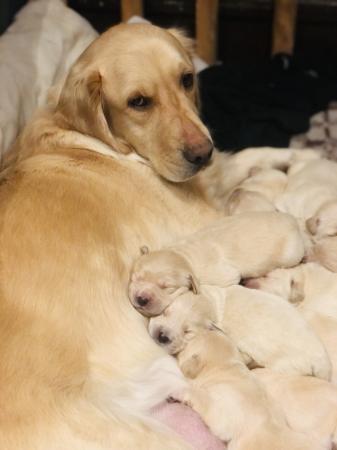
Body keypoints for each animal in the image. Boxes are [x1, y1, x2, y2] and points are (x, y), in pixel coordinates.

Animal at [129, 211, 302, 316]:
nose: (142, 299)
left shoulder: (226, 276)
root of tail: (291, 220)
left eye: (168, 288)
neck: (184, 256)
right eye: (136, 277)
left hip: (291, 255)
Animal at [148, 284, 330, 380]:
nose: (162, 336)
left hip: (285, 365)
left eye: (187, 331)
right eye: (165, 312)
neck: (213, 302)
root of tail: (323, 360)